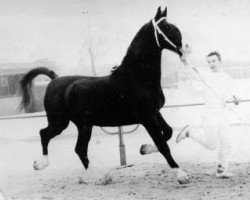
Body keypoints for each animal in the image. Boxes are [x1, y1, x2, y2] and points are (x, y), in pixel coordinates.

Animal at [20, 7, 189, 184]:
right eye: (166, 27)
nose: (184, 49)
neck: (136, 77)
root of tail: (55, 80)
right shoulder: (147, 117)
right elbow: (163, 144)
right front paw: (181, 174)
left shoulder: (155, 112)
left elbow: (168, 132)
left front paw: (144, 149)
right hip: (59, 122)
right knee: (45, 134)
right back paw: (41, 164)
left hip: (84, 125)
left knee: (80, 149)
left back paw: (99, 177)